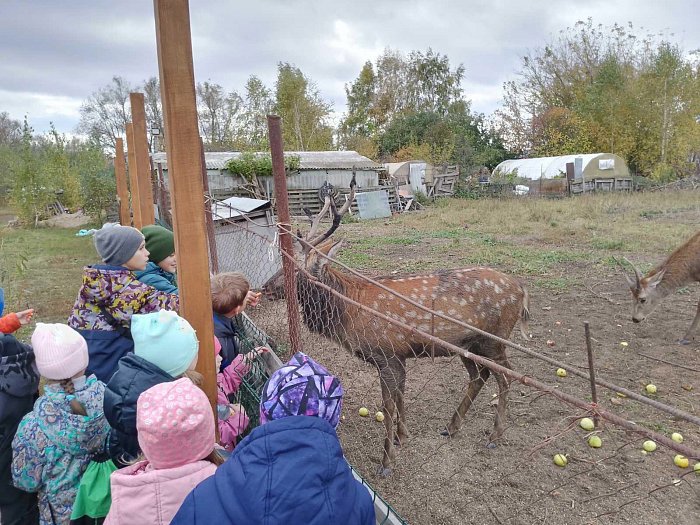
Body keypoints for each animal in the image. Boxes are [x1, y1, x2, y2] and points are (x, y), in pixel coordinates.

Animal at [290, 177, 532, 474]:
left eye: (302, 274)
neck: (351, 310)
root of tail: (521, 289)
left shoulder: (386, 352)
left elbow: (388, 405)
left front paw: (387, 461)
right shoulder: (399, 354)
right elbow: (401, 395)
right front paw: (402, 436)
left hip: (495, 339)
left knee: (506, 376)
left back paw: (495, 436)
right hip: (470, 344)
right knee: (480, 376)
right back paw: (451, 427)